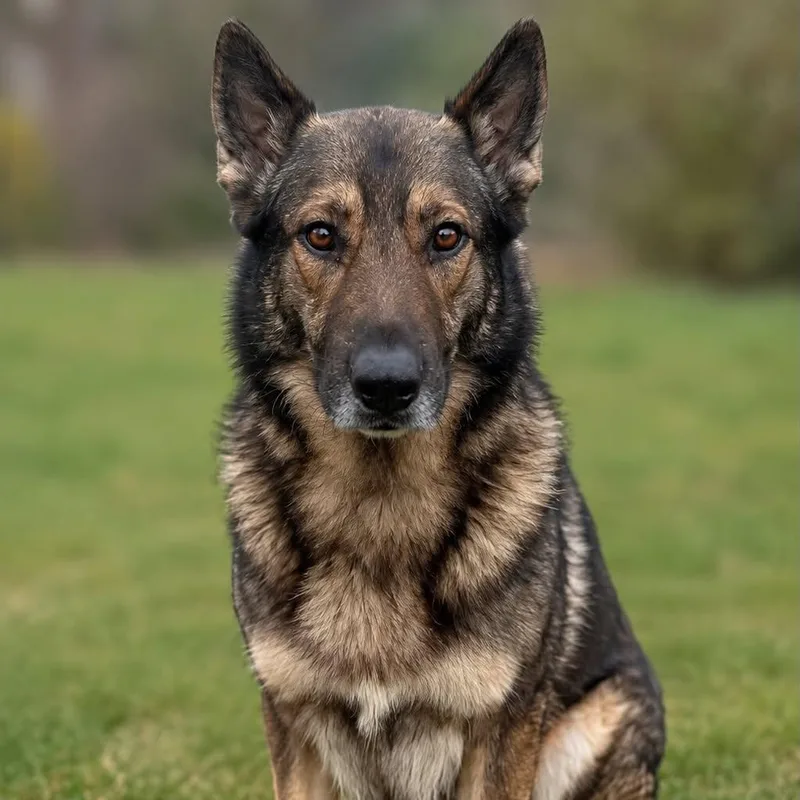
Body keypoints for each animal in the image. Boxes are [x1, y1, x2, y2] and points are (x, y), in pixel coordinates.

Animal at [212, 16, 665, 799]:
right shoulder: (293, 731)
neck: (378, 504)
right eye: (321, 235)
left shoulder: (500, 734)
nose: (386, 386)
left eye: (446, 236)